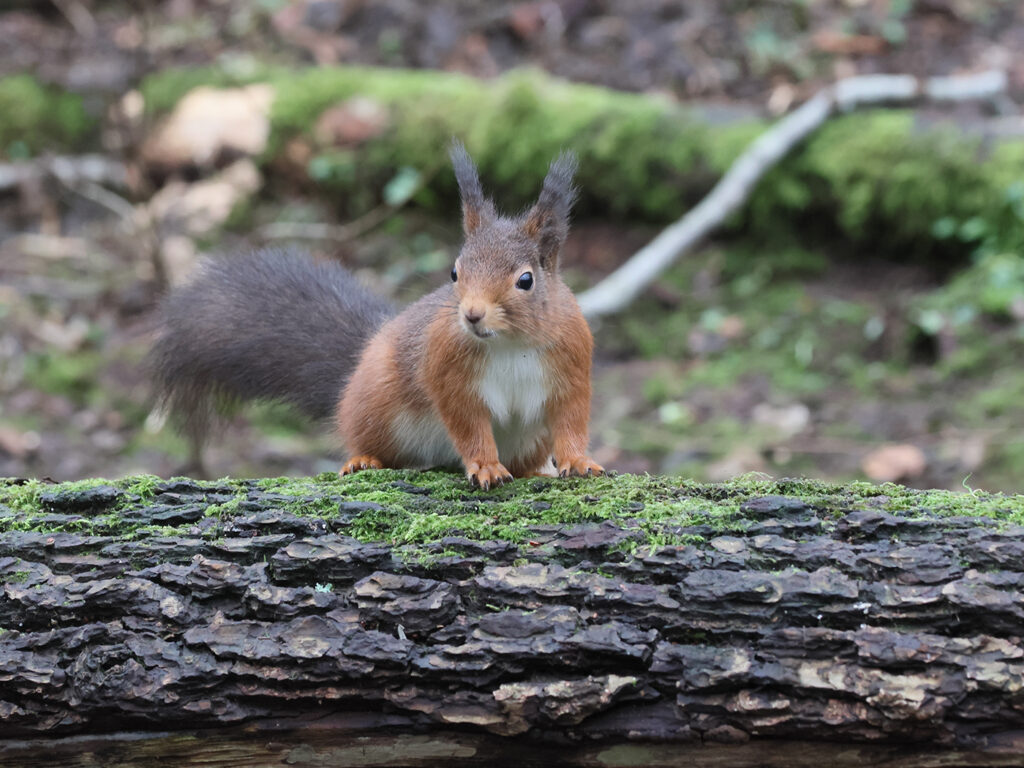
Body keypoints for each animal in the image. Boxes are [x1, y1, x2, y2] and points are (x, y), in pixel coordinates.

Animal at [150, 143, 598, 489]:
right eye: (455, 273)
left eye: (525, 280)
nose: (471, 315)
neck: (509, 344)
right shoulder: (447, 370)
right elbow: (468, 426)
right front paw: (485, 466)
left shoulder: (571, 364)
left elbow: (572, 420)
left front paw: (577, 461)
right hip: (376, 404)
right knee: (372, 443)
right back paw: (364, 460)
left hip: (528, 440)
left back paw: (535, 472)